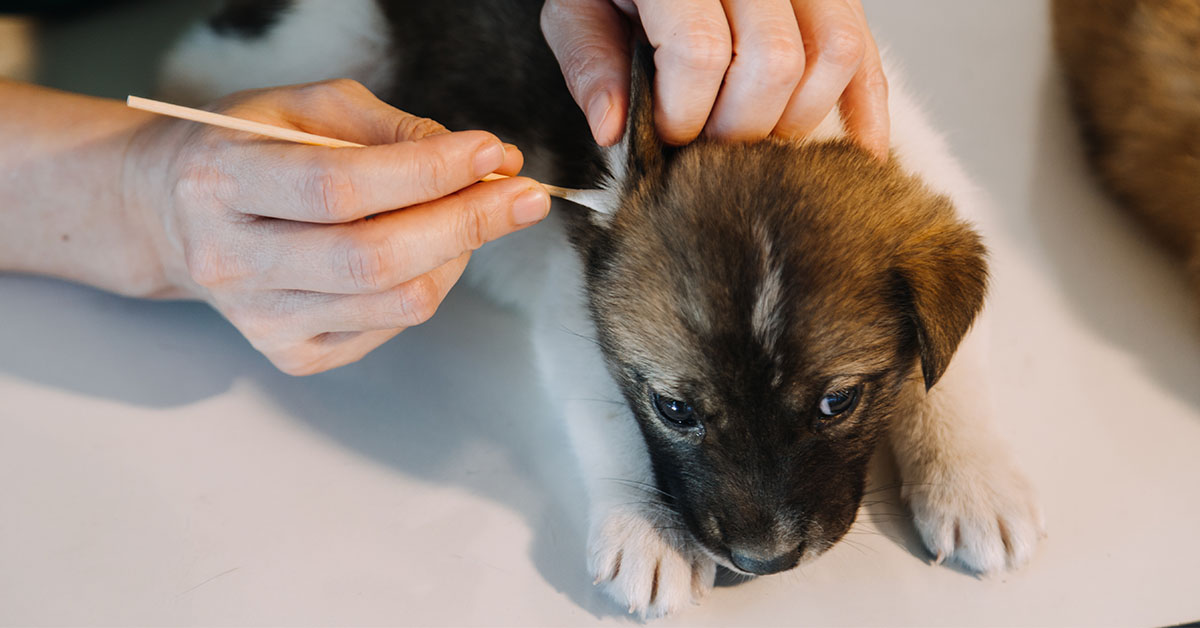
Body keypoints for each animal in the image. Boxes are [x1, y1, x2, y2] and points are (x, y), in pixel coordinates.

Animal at [159, 0, 1041, 619]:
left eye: (838, 402)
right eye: (676, 410)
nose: (763, 563)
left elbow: (950, 376)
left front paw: (974, 479)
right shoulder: (571, 299)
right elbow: (607, 415)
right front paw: (646, 530)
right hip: (331, 38)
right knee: (202, 58)